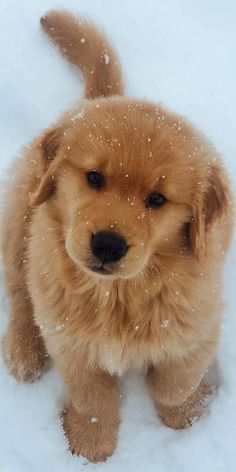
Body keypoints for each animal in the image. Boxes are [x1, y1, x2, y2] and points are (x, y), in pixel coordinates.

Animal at [1, 9, 234, 462]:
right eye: (94, 177)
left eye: (157, 199)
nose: (107, 244)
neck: (120, 295)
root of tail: (92, 100)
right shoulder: (69, 339)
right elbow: (93, 397)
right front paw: (90, 444)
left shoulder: (200, 323)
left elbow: (174, 381)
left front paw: (189, 411)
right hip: (21, 214)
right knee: (21, 291)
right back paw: (23, 350)